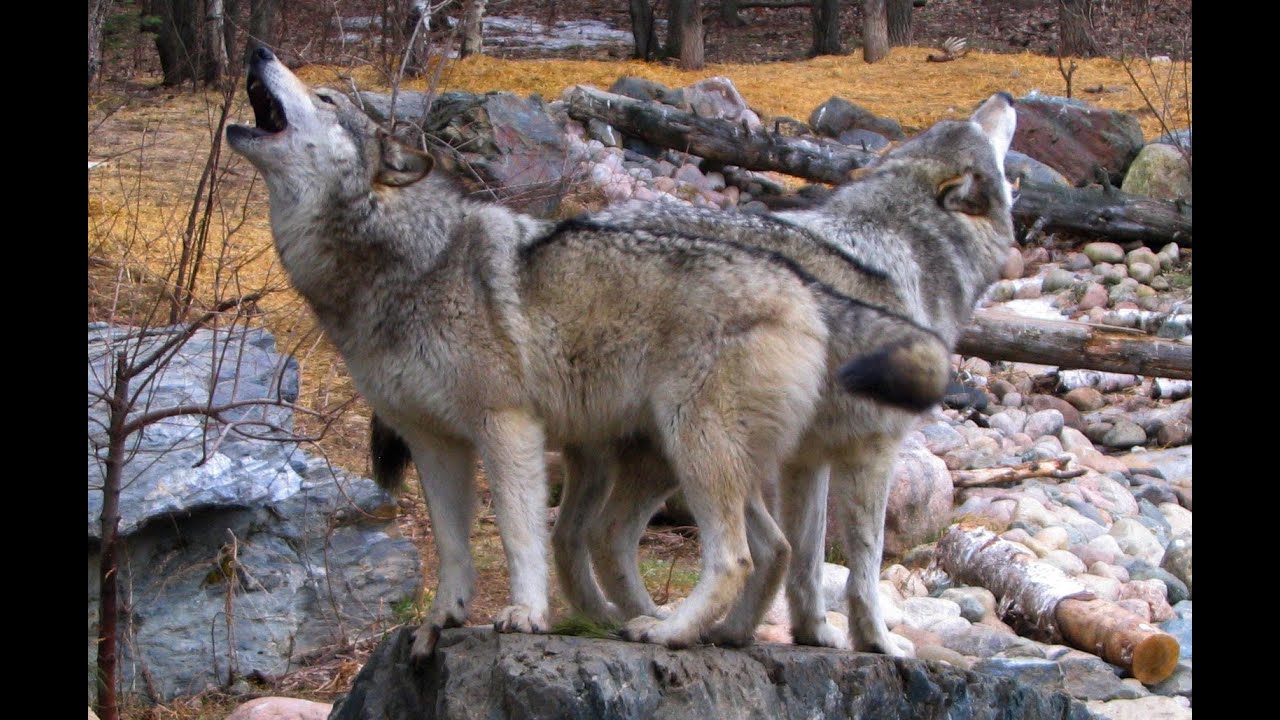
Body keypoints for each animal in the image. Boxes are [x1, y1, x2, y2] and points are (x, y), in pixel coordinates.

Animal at [227, 46, 952, 655]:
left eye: (323, 96)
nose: (257, 50)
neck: (403, 263)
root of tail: (801, 282)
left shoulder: (506, 426)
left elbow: (518, 535)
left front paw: (523, 614)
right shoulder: (434, 442)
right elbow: (455, 547)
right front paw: (441, 620)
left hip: (694, 450)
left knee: (735, 557)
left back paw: (668, 630)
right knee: (769, 549)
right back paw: (717, 634)